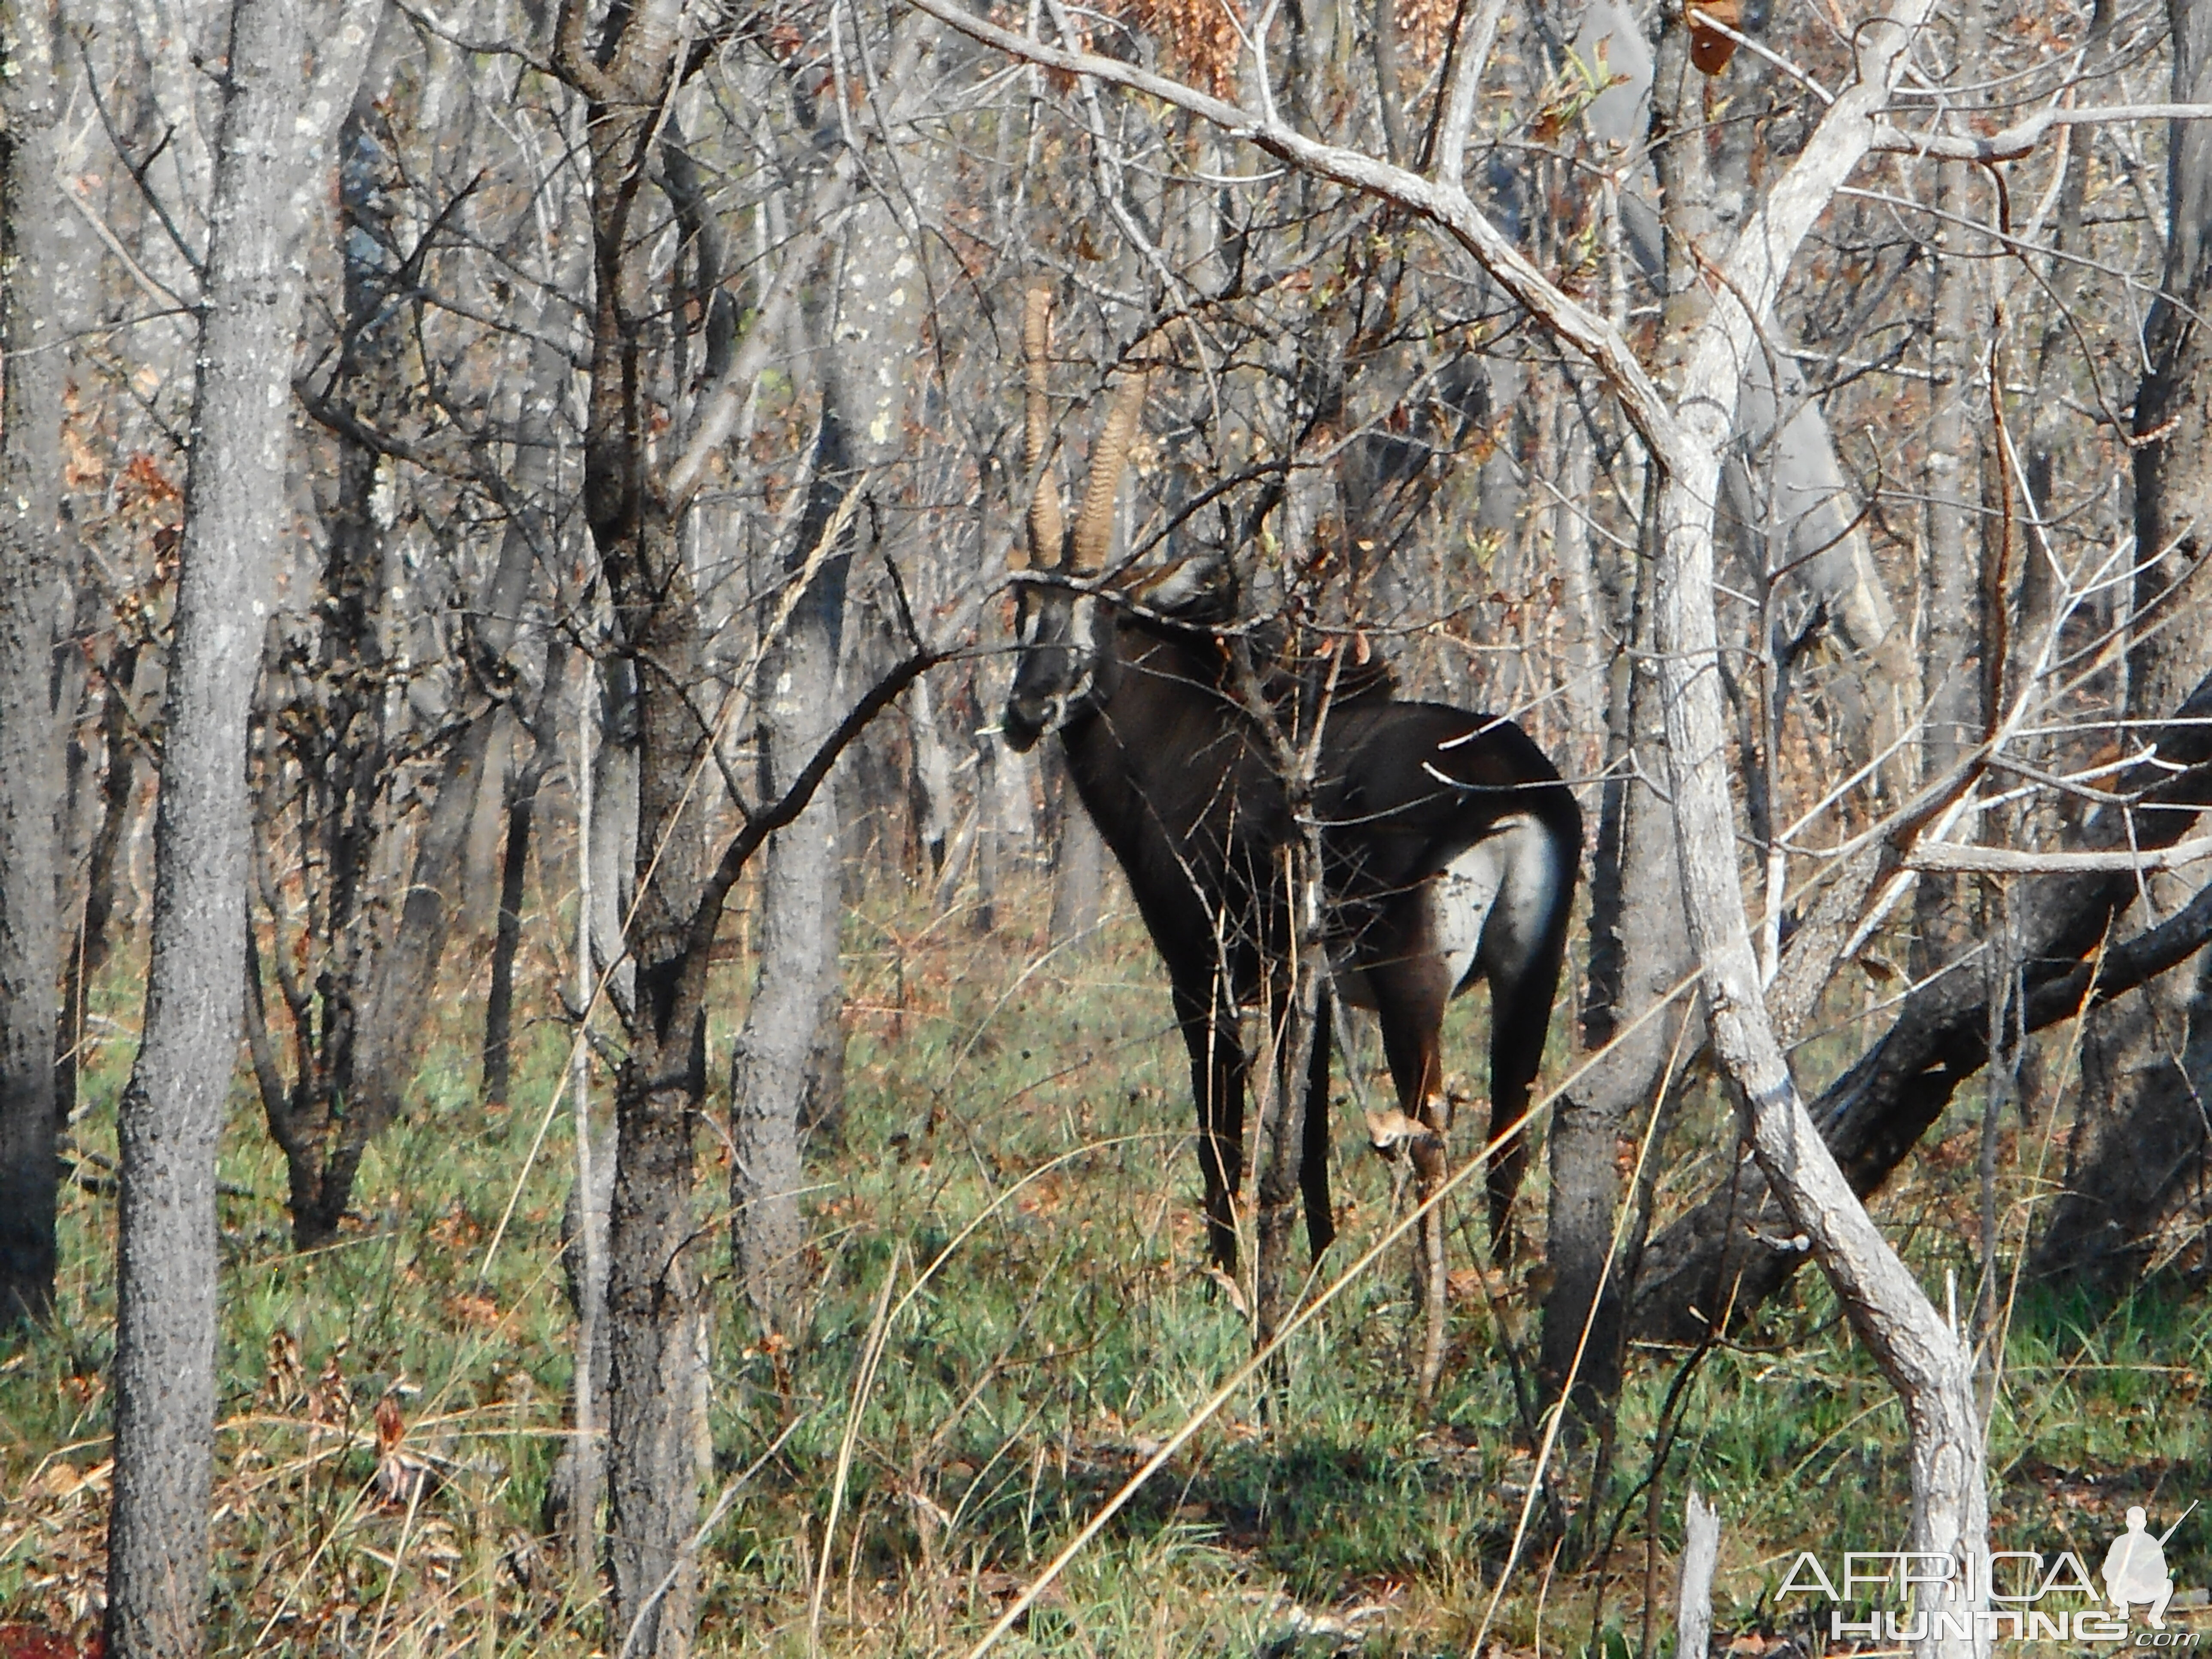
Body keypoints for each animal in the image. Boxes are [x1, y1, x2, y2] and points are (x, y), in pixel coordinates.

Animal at [1013, 289, 1583, 1407]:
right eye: (1025, 604)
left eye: (1099, 608)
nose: (1026, 710)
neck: (1191, 729)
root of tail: (1511, 784)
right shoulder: (1299, 981)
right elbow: (1310, 1128)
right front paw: (1313, 1270)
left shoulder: (1206, 969)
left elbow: (1223, 1124)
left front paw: (1230, 1280)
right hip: (1528, 974)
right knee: (1506, 1126)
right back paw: (1501, 1313)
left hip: (1413, 982)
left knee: (1429, 1136)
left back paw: (1429, 1349)